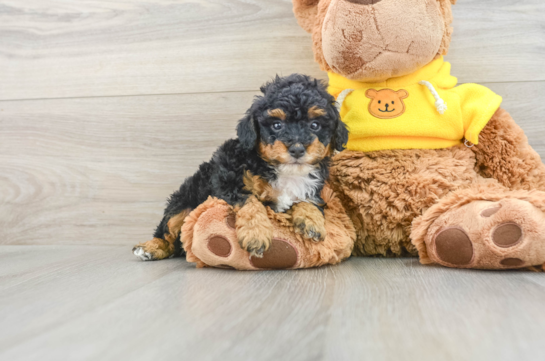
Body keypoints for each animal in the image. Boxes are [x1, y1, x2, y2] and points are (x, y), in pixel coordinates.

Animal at [132, 74, 346, 258]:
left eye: (315, 125)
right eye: (277, 125)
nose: (297, 149)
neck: (286, 171)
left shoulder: (313, 188)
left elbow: (308, 200)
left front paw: (312, 222)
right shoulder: (227, 176)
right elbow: (249, 201)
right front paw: (256, 234)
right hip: (182, 202)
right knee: (168, 232)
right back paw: (150, 248)